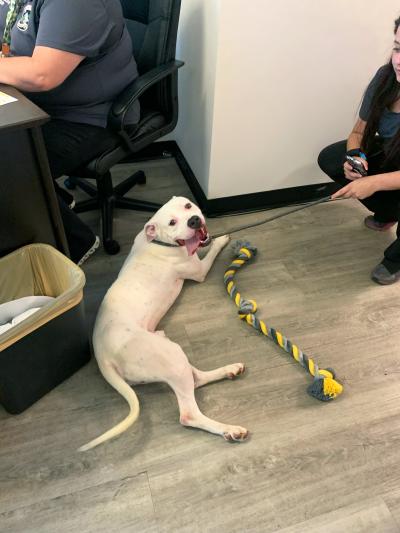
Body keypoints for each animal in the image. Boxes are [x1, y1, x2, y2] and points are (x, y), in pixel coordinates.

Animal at [79, 195, 248, 448]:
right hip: (170, 356)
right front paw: (220, 240)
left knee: (196, 379)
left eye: (187, 206)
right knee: (189, 413)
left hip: (169, 350)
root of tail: (102, 358)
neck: (159, 242)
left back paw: (229, 370)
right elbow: (211, 252)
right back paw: (230, 429)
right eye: (172, 222)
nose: (194, 220)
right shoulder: (199, 270)